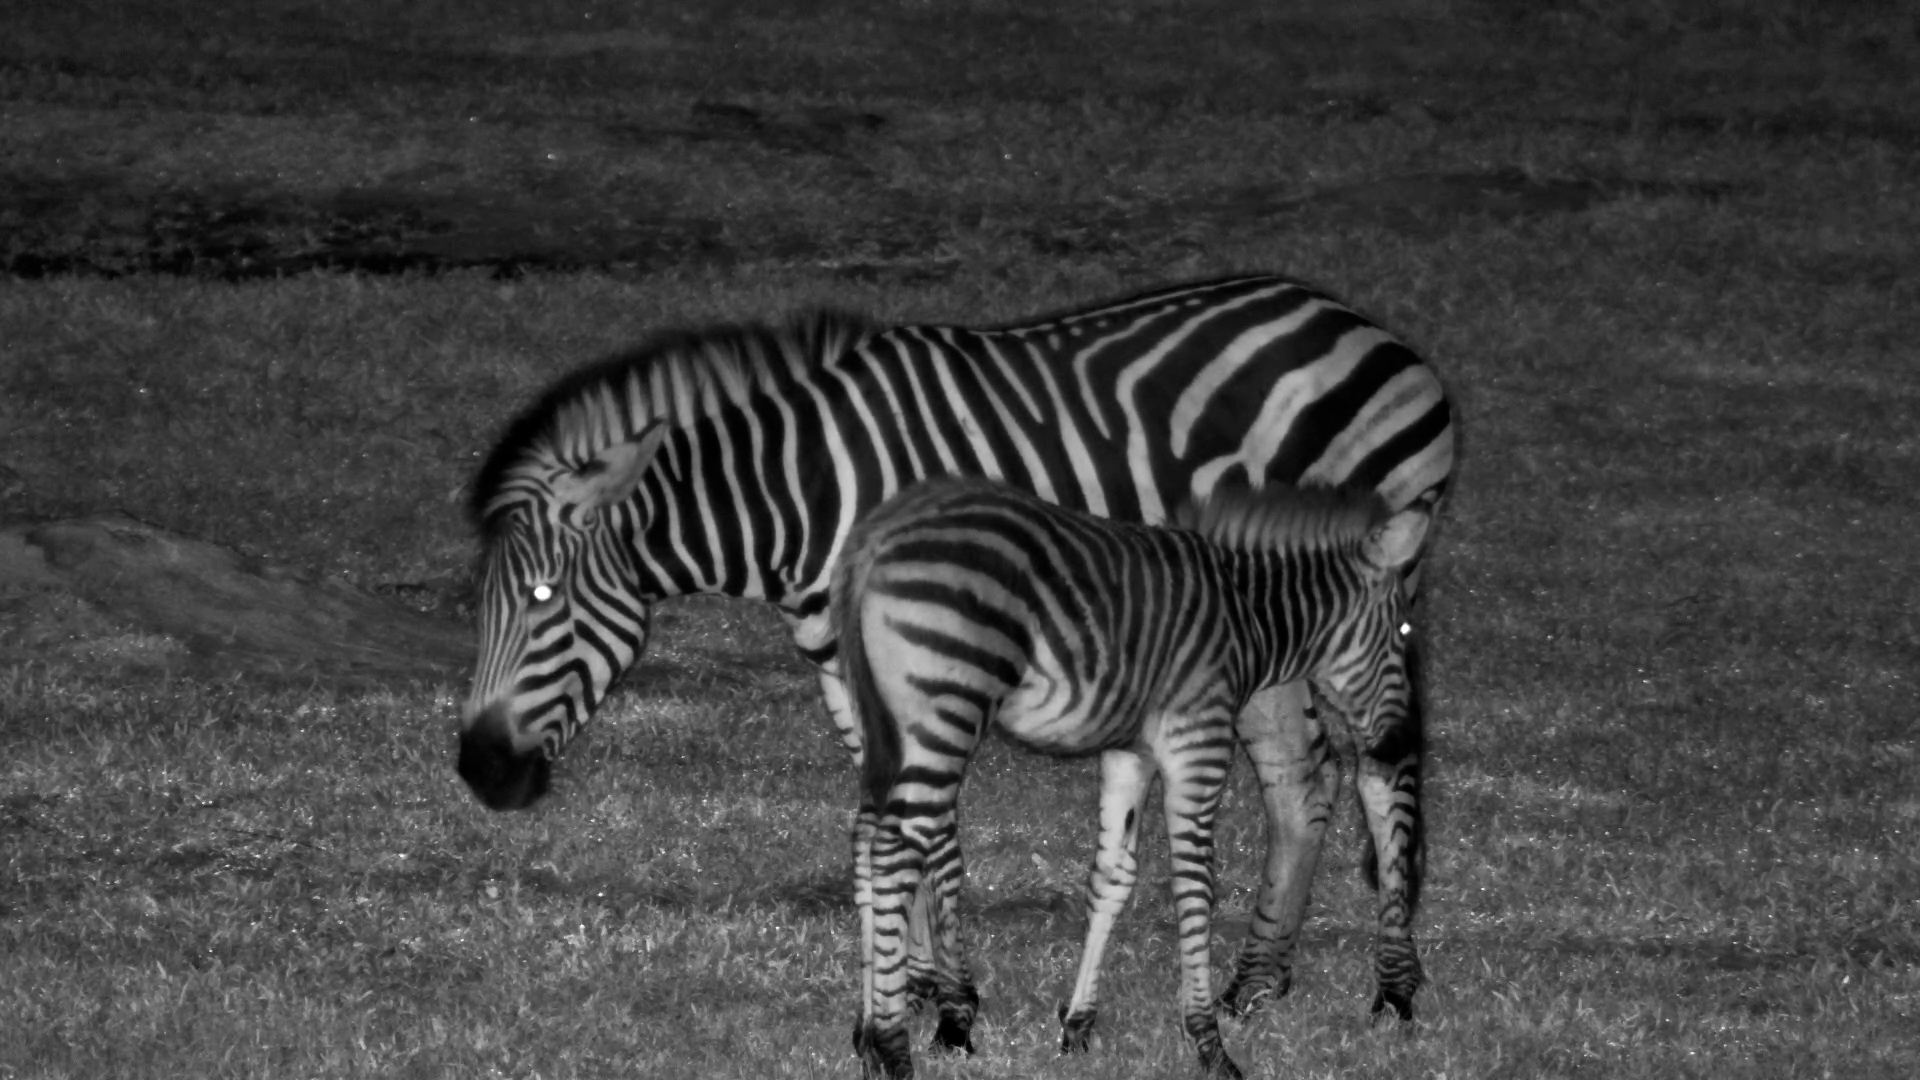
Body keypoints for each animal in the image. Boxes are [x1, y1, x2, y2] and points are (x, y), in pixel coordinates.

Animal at [458, 273, 1454, 1015]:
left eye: (542, 599)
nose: (479, 773)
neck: (808, 499)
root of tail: (1365, 327)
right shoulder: (847, 661)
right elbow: (896, 805)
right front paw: (920, 981)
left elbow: (930, 819)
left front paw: (952, 994)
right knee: (1302, 777)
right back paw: (1259, 979)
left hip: (1374, 589)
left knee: (1385, 764)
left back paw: (1395, 985)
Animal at [839, 476, 1430, 1080]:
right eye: (1405, 629)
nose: (1399, 743)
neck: (1250, 614)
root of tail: (880, 534)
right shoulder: (1198, 746)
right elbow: (1196, 888)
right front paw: (1209, 1044)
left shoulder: (1129, 754)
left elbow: (1112, 877)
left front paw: (1077, 1029)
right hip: (944, 716)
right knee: (893, 853)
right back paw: (892, 1050)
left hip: (883, 725)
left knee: (866, 842)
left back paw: (868, 1034)